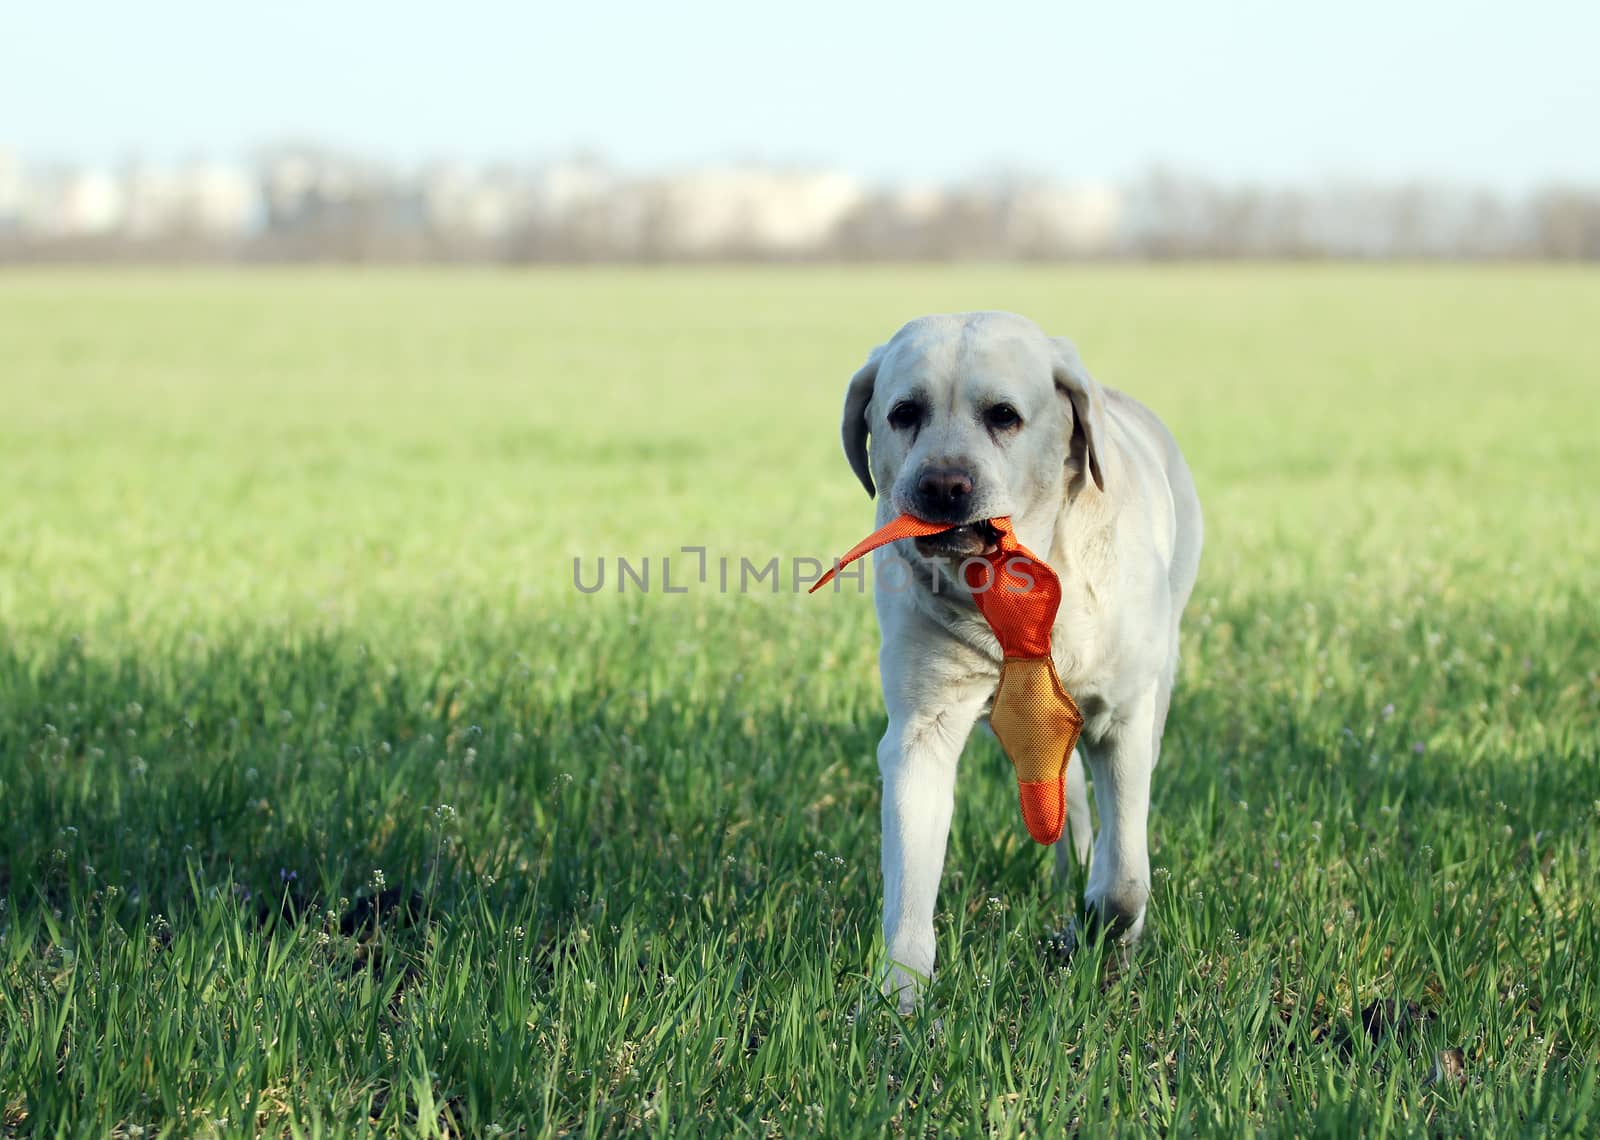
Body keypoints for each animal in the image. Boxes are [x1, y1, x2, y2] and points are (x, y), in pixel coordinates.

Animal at [838, 309, 1203, 1005]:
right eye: (904, 413)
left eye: (1004, 416)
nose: (943, 485)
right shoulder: (920, 734)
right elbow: (909, 886)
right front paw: (899, 1001)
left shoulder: (1123, 721)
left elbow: (1126, 879)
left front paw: (1095, 928)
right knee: (1076, 798)